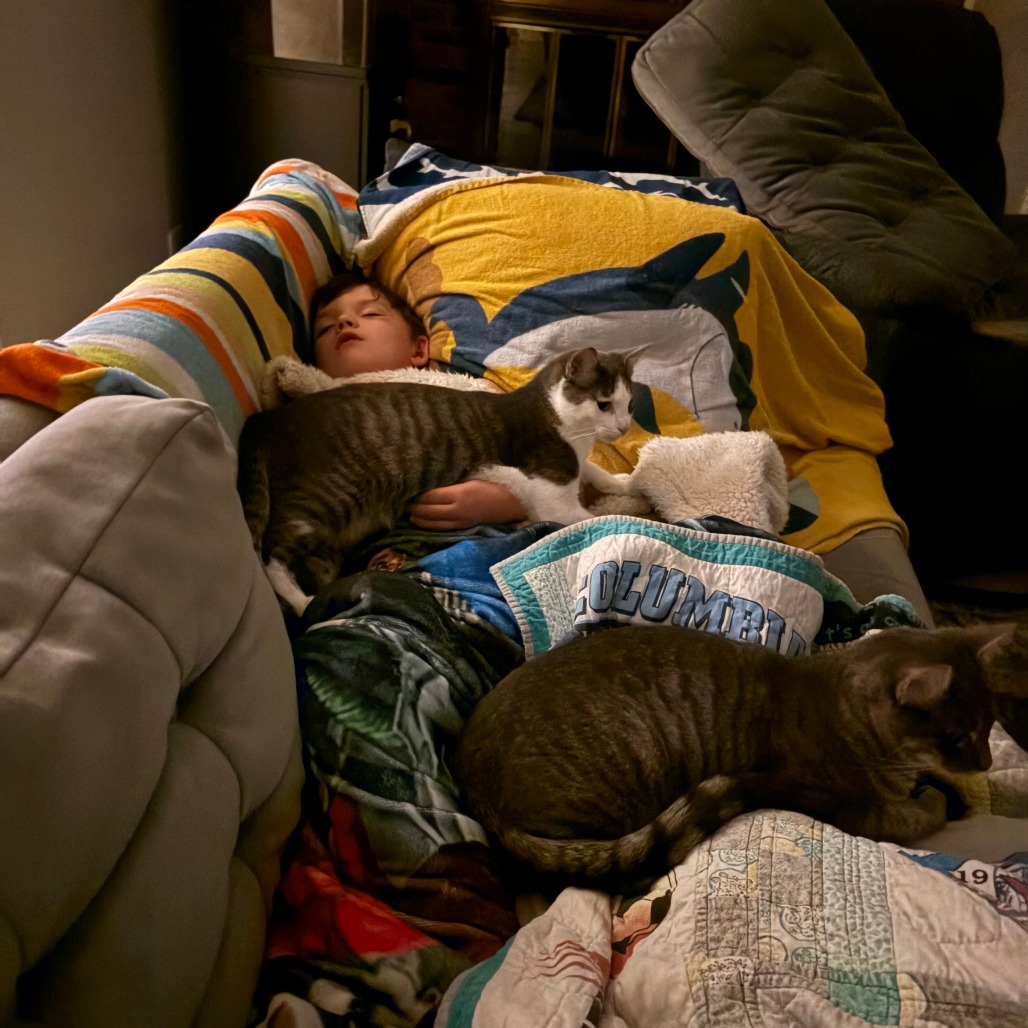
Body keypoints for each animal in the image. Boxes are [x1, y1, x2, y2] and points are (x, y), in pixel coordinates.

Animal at [237, 346, 637, 616]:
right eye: (603, 404)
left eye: (629, 404)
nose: (624, 427)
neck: (571, 432)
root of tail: (271, 417)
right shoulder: (551, 496)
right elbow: (597, 516)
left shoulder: (575, 465)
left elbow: (594, 472)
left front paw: (624, 482)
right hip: (328, 497)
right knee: (271, 555)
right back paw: (302, 601)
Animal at [455, 620, 1025, 894]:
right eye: (958, 734)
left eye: (988, 728)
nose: (986, 763)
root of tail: (473, 781)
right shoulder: (843, 806)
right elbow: (912, 815)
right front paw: (937, 802)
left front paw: (952, 791)